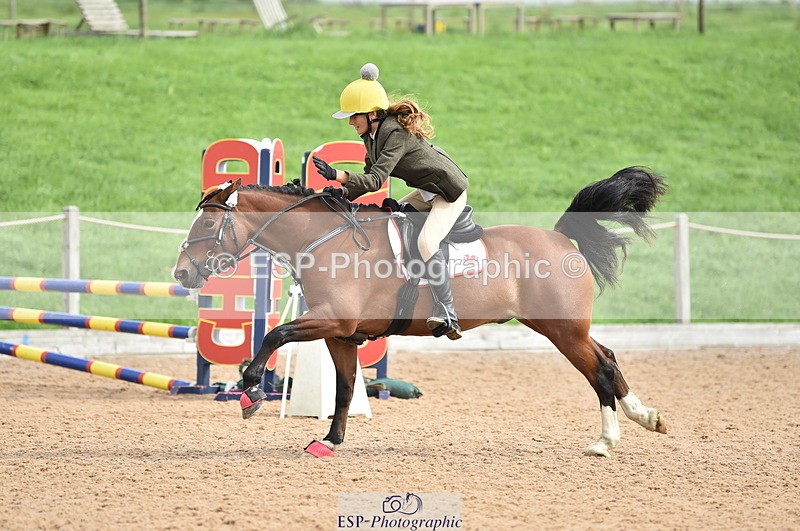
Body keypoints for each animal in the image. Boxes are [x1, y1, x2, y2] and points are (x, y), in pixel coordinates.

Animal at [173, 167, 668, 457]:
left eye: (209, 222)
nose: (182, 273)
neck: (326, 240)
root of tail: (562, 238)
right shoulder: (339, 333)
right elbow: (345, 388)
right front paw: (330, 441)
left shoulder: (332, 320)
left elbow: (274, 336)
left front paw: (251, 391)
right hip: (564, 328)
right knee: (609, 358)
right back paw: (646, 418)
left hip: (562, 330)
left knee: (599, 368)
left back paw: (606, 441)